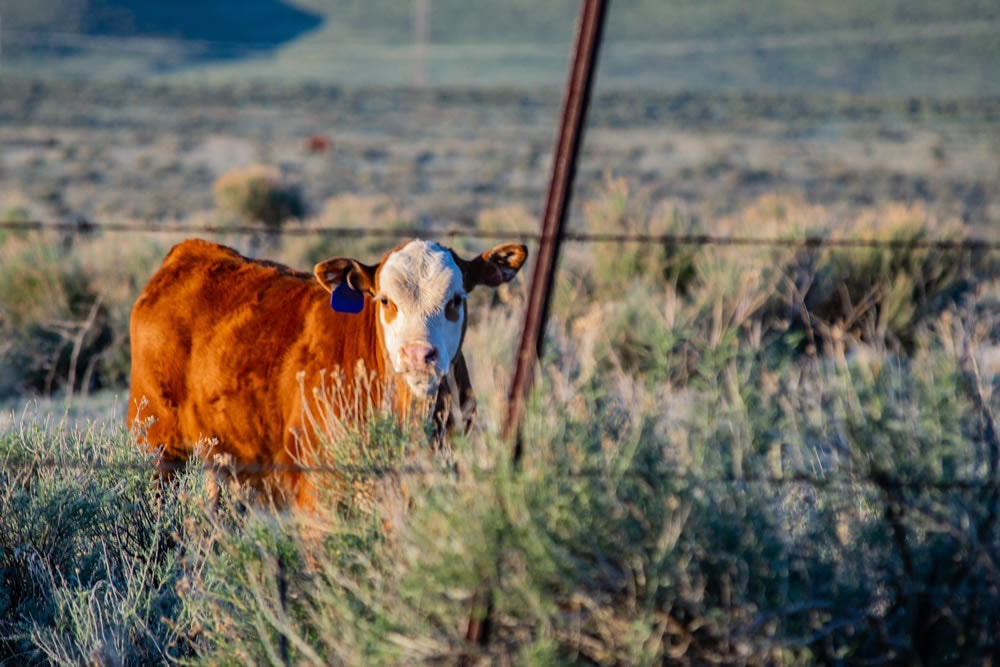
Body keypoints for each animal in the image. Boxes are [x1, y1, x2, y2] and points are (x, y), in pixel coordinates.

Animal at [129, 239, 528, 512]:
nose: (418, 355)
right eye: (385, 300)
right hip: (156, 443)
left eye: (456, 300)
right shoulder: (317, 491)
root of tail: (187, 253)